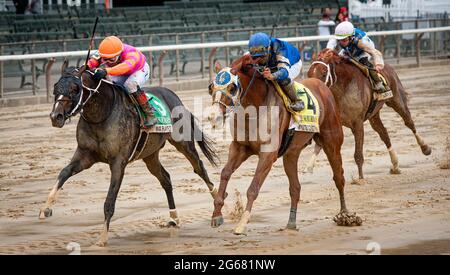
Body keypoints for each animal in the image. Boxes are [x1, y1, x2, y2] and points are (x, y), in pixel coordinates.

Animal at [42, 62, 220, 248]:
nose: (56, 116)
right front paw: (46, 208)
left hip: (183, 142)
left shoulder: (118, 163)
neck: (101, 114)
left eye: (75, 88)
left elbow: (109, 201)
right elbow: (64, 173)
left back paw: (218, 203)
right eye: (55, 87)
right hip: (150, 154)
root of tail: (174, 97)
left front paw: (102, 239)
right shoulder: (85, 155)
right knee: (165, 179)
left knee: (199, 168)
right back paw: (174, 217)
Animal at [210, 55, 362, 236]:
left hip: (332, 142)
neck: (255, 109)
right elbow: (225, 173)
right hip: (291, 154)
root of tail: (322, 85)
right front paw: (217, 214)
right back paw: (291, 222)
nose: (214, 117)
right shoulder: (239, 147)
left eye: (232, 87)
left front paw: (242, 223)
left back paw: (345, 214)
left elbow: (253, 188)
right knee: (295, 188)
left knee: (339, 177)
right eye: (211, 87)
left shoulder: (268, 153)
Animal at [308, 48, 430, 184]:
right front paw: (310, 166)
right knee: (384, 133)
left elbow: (358, 154)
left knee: (409, 122)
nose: (313, 87)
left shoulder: (357, 123)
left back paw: (425, 148)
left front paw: (360, 178)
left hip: (397, 101)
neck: (344, 87)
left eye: (324, 73)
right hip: (374, 115)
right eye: (309, 73)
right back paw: (395, 165)